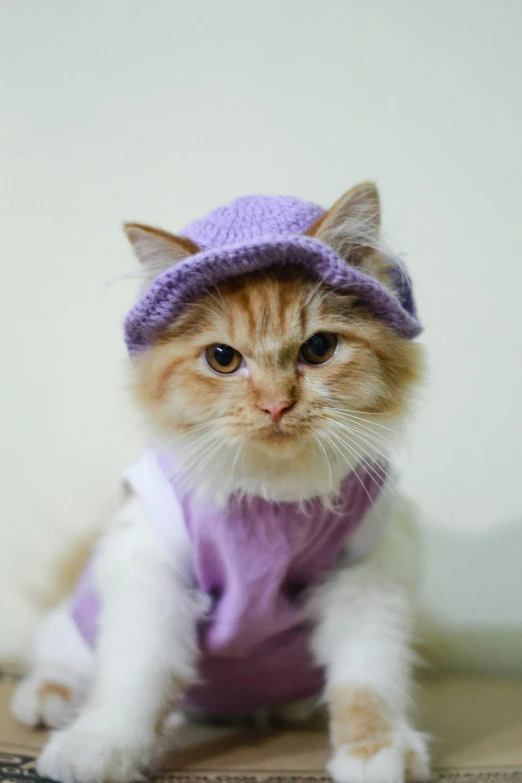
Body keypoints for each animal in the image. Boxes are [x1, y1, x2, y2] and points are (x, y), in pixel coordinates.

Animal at [11, 184, 430, 783]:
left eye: (319, 349)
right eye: (222, 358)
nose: (275, 405)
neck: (272, 493)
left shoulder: (366, 578)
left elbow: (367, 680)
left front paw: (375, 753)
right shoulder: (149, 571)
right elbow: (136, 675)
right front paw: (100, 746)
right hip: (77, 620)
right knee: (63, 659)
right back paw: (49, 700)